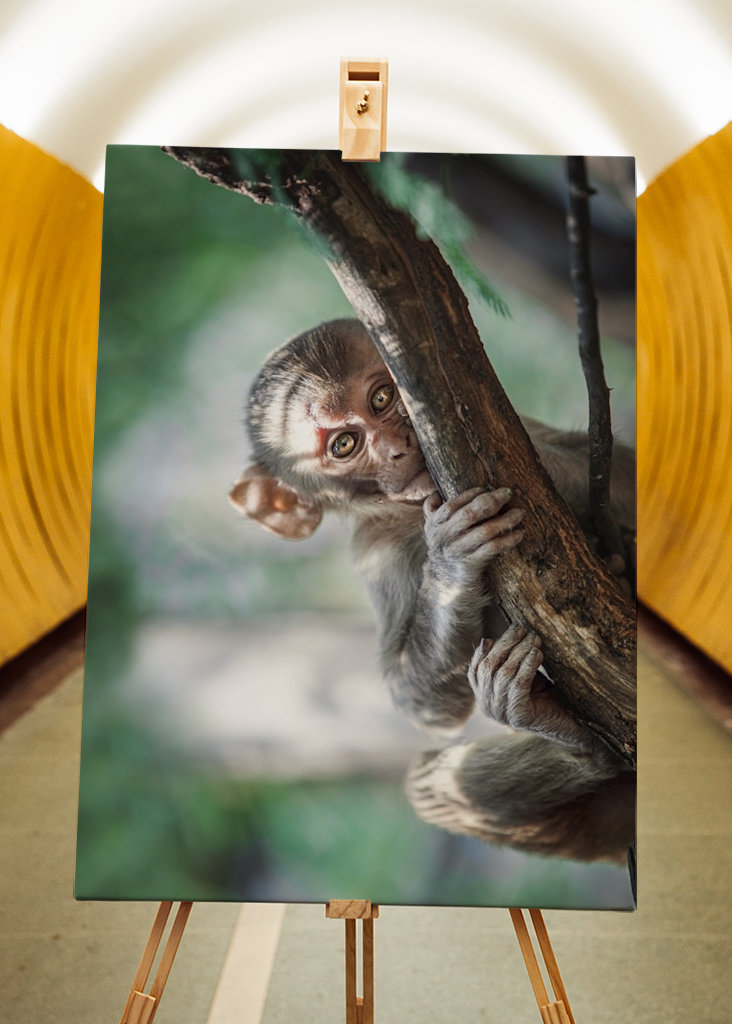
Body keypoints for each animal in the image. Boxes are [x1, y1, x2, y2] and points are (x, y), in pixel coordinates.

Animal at [229, 318, 636, 863]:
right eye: (344, 445)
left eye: (382, 398)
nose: (399, 446)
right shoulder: (378, 555)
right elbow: (424, 705)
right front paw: (451, 563)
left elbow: (624, 472)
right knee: (429, 787)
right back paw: (569, 738)